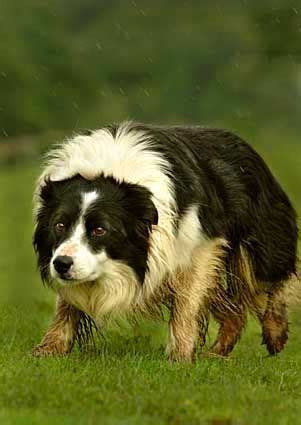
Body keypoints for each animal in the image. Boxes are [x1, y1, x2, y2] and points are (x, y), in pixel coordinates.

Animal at [32, 121, 298, 360]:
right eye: (59, 225)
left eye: (100, 230)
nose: (61, 264)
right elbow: (65, 303)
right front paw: (48, 351)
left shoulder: (201, 243)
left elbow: (187, 301)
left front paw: (179, 357)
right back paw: (217, 352)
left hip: (261, 232)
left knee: (272, 273)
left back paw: (275, 335)